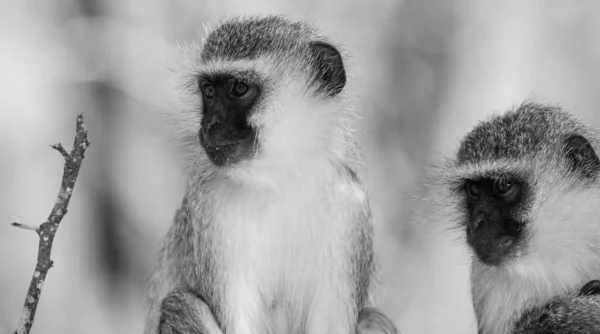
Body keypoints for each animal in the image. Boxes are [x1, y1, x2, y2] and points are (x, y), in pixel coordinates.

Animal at [143, 15, 398, 334]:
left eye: (239, 88)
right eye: (209, 91)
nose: (209, 124)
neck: (279, 179)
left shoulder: (349, 206)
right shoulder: (211, 206)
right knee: (180, 305)